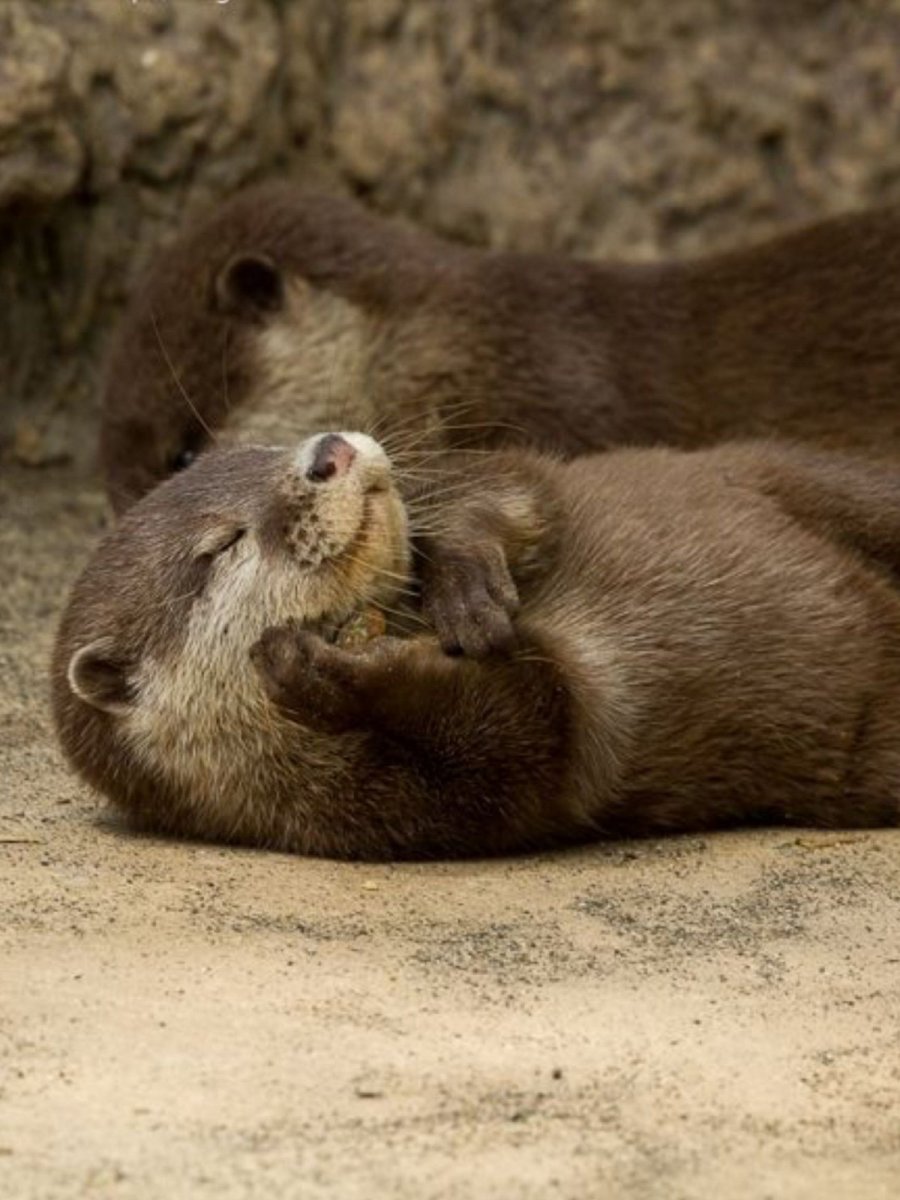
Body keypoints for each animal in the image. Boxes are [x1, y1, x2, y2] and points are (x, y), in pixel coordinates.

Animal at [54, 433, 900, 860]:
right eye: (220, 545)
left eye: (271, 443)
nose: (329, 448)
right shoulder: (416, 811)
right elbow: (538, 721)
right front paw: (317, 670)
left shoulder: (528, 478)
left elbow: (505, 480)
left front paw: (463, 584)